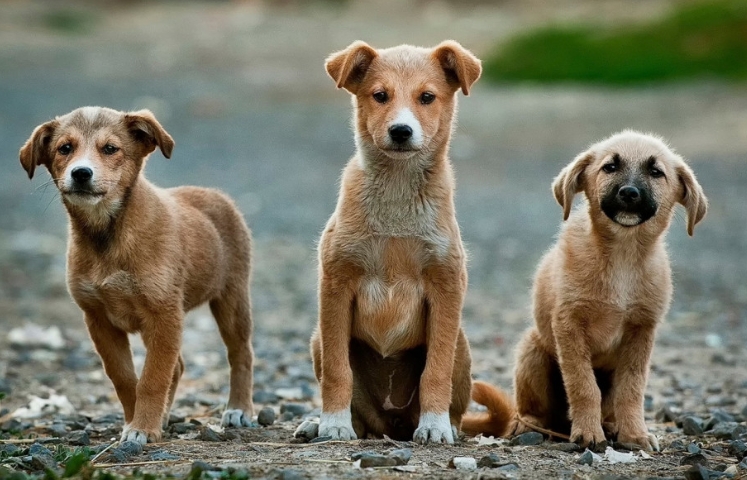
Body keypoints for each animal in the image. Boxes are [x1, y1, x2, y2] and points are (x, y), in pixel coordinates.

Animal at [18, 107, 258, 444]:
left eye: (110, 149)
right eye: (65, 148)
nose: (81, 173)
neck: (108, 235)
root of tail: (214, 194)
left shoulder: (164, 315)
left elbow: (152, 378)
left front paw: (142, 427)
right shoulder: (99, 320)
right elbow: (125, 378)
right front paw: (137, 422)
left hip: (232, 299)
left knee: (241, 354)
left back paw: (239, 409)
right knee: (178, 366)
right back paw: (166, 416)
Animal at [300, 39, 482, 444]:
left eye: (427, 97)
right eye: (380, 95)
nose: (400, 131)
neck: (397, 195)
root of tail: (393, 423)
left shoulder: (446, 285)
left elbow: (436, 370)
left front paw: (434, 426)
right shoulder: (336, 283)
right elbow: (337, 371)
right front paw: (333, 424)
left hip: (462, 344)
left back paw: (446, 425)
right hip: (318, 338)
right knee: (359, 409)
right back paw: (321, 424)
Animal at [464, 130, 712, 450]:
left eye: (656, 172)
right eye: (610, 167)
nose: (629, 193)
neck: (622, 256)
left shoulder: (642, 331)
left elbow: (631, 390)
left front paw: (635, 434)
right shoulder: (569, 325)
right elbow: (583, 385)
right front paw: (588, 433)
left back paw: (611, 425)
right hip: (533, 351)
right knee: (531, 410)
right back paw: (530, 425)